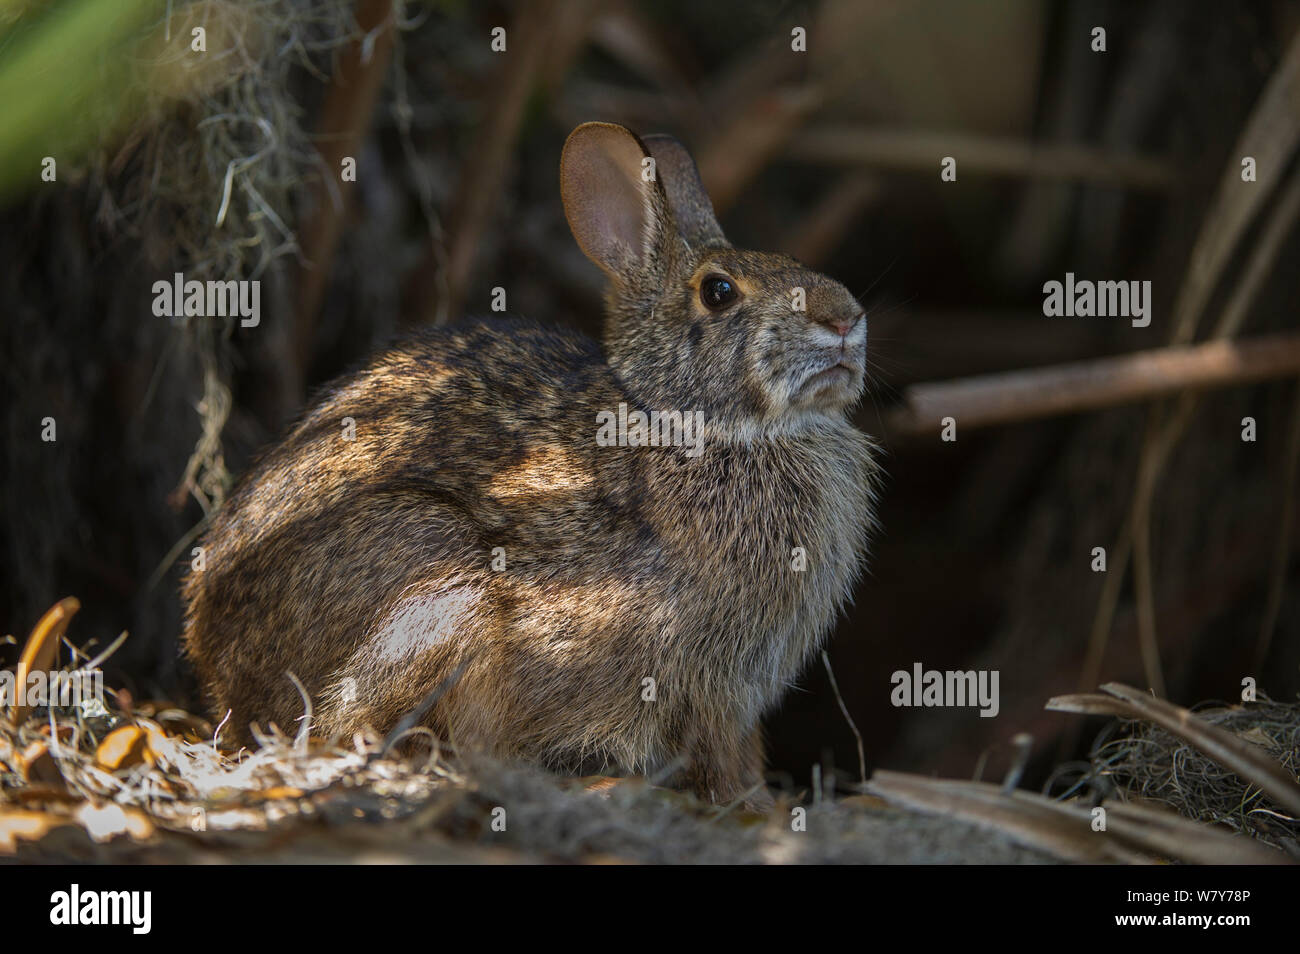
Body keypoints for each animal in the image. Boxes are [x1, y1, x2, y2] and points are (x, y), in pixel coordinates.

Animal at [183, 117, 878, 805]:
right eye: (719, 291)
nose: (844, 319)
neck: (692, 421)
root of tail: (216, 669)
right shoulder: (703, 682)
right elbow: (719, 754)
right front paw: (751, 807)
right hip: (441, 589)